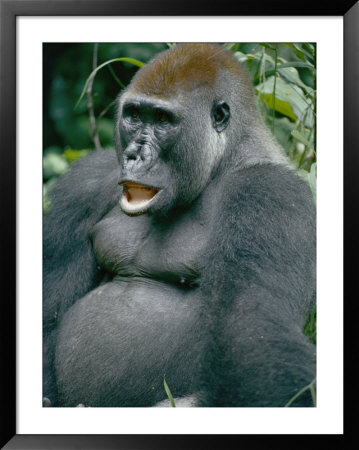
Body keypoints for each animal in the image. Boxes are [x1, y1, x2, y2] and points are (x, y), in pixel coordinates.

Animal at [43, 43, 316, 408]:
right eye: (134, 115)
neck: (225, 158)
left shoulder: (270, 193)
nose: (134, 156)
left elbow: (254, 329)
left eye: (162, 120)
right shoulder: (87, 181)